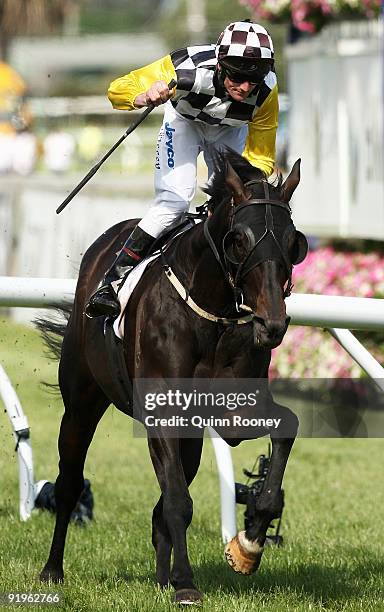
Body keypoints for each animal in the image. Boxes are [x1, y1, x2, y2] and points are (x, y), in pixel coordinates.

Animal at [39, 149, 308, 604]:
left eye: (294, 242)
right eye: (238, 239)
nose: (272, 325)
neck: (212, 311)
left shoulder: (232, 413)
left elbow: (286, 427)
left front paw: (249, 543)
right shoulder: (162, 413)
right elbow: (178, 502)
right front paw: (185, 584)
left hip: (189, 435)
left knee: (161, 502)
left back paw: (161, 577)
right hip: (80, 403)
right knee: (70, 483)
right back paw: (52, 570)